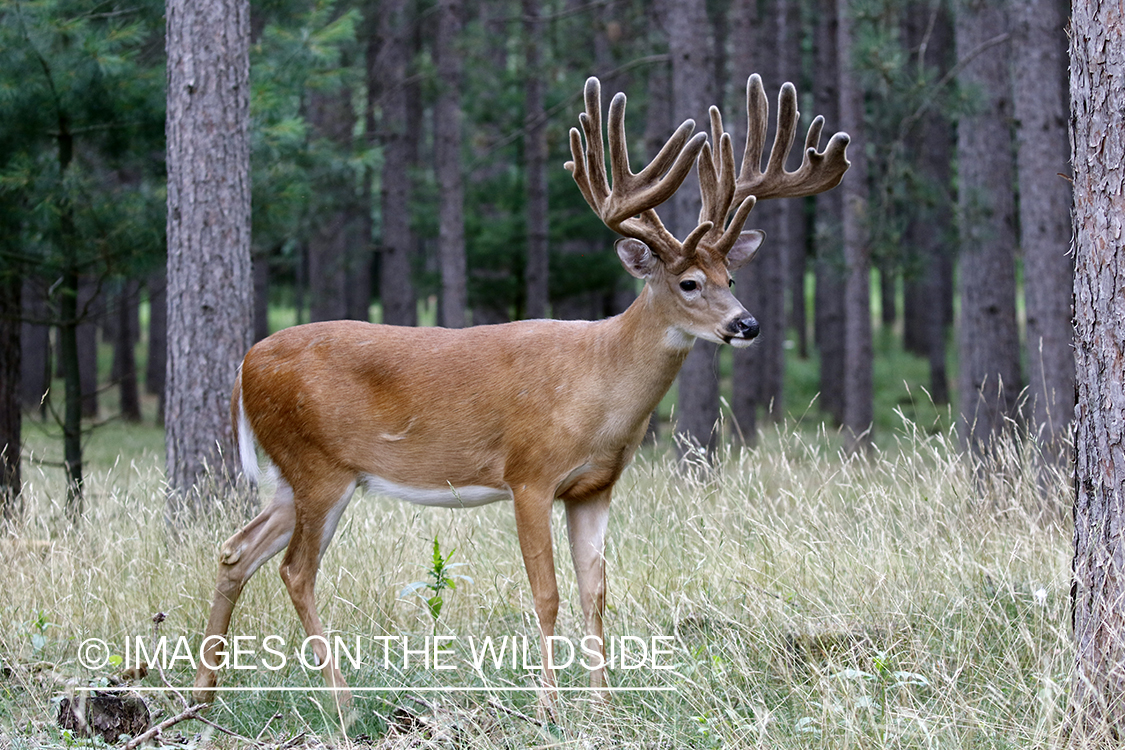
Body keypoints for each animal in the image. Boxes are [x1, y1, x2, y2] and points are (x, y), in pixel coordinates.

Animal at [191, 74, 846, 710]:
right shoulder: (529, 473)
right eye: (688, 282)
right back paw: (341, 704)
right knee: (295, 571)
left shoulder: (594, 487)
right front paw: (551, 708)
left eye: (730, 277)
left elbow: (594, 592)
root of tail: (245, 365)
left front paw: (604, 709)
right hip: (318, 465)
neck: (598, 389)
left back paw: (204, 695)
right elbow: (546, 593)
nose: (748, 324)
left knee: (236, 550)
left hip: (294, 475)